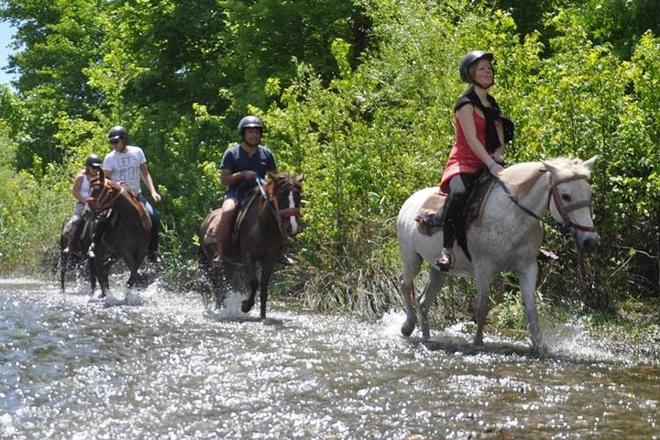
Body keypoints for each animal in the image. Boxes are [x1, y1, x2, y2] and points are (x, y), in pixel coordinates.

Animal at [87, 170, 152, 298]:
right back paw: (105, 293)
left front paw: (131, 289)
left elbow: (134, 270)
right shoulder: (124, 251)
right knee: (98, 266)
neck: (134, 222)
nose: (87, 211)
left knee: (104, 267)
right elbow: (133, 270)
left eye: (97, 190)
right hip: (103, 250)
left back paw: (106, 291)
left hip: (113, 254)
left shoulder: (140, 251)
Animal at [199, 170, 304, 318]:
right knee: (217, 286)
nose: (292, 227)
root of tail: (205, 221)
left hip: (230, 264)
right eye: (281, 197)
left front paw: (263, 316)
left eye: (298, 197)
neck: (264, 226)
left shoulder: (269, 258)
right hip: (213, 261)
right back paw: (220, 309)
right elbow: (254, 282)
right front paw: (245, 306)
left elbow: (264, 287)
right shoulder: (248, 256)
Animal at [400, 156, 600, 356]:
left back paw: (427, 337)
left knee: (424, 301)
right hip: (412, 259)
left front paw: (539, 346)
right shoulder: (483, 268)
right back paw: (408, 326)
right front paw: (478, 343)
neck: (513, 214)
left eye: (589, 193)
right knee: (404, 284)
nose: (590, 241)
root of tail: (410, 201)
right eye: (566, 196)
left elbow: (531, 308)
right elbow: (482, 306)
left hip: (440, 271)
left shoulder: (528, 267)